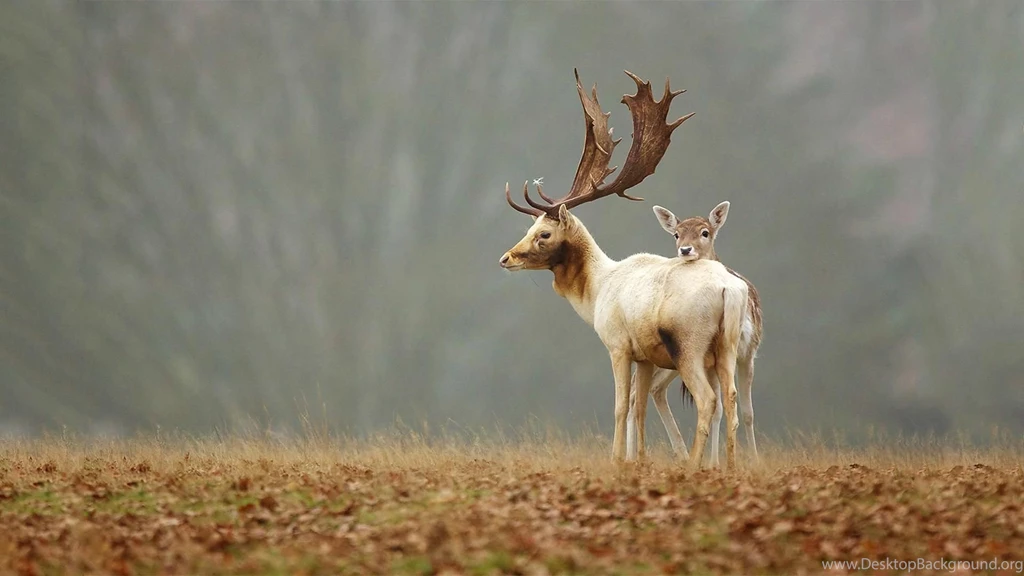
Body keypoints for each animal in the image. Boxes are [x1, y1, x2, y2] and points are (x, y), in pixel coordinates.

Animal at [498, 69, 748, 470]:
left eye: (544, 233)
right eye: (529, 227)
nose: (506, 258)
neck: (597, 290)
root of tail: (730, 289)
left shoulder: (617, 344)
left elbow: (619, 406)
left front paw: (616, 459)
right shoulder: (644, 355)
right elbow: (638, 407)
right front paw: (639, 460)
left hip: (689, 345)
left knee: (708, 400)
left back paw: (693, 464)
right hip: (727, 345)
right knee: (733, 400)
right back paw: (730, 466)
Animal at [626, 201, 764, 466]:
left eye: (705, 232)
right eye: (676, 234)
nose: (685, 249)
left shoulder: (749, 351)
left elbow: (747, 411)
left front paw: (749, 460)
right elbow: (722, 409)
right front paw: (715, 463)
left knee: (650, 390)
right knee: (638, 393)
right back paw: (631, 458)